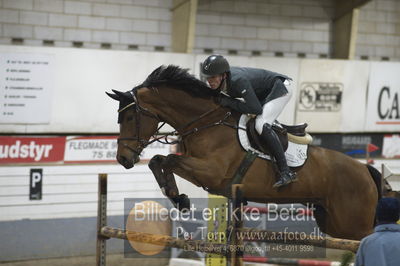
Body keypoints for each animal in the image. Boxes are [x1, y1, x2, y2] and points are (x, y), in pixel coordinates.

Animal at [107, 65, 382, 241]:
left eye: (129, 117)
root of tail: (365, 169)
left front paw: (179, 197)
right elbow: (158, 161)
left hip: (353, 224)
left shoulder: (211, 173)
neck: (206, 122)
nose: (123, 159)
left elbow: (170, 159)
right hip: (333, 222)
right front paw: (177, 197)